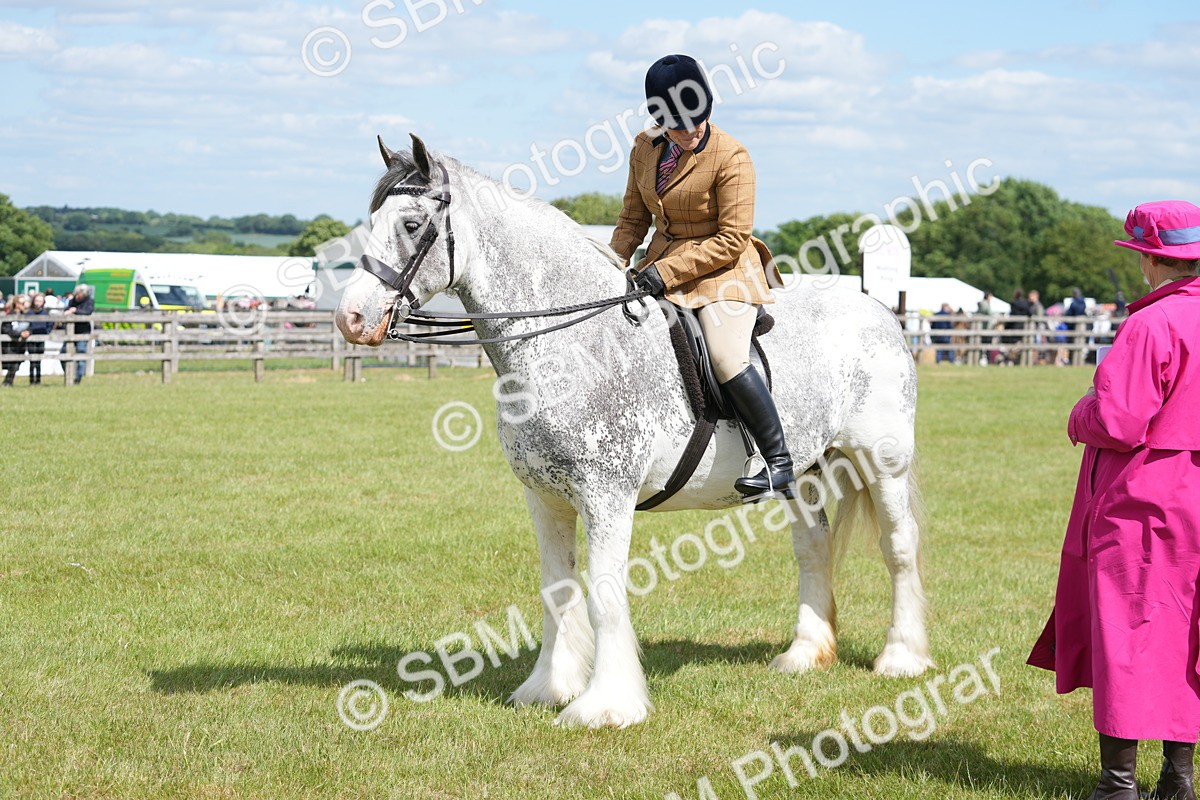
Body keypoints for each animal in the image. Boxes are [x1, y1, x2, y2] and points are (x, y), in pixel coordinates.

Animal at [335, 134, 932, 729]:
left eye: (413, 224)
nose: (351, 319)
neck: (572, 344)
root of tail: (878, 309)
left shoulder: (606, 498)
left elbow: (603, 596)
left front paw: (605, 704)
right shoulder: (545, 499)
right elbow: (556, 590)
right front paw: (548, 688)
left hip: (882, 462)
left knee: (899, 547)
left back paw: (901, 657)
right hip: (804, 470)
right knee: (812, 546)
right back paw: (804, 655)